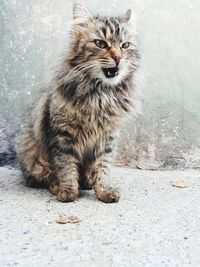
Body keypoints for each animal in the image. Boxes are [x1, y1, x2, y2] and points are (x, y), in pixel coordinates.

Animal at [11, 3, 139, 203]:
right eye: (101, 43)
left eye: (125, 45)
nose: (118, 58)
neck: (100, 95)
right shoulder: (61, 137)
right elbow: (66, 167)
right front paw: (68, 191)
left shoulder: (106, 139)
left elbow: (102, 168)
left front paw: (103, 191)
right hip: (31, 153)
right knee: (43, 177)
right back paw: (58, 186)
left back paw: (87, 182)